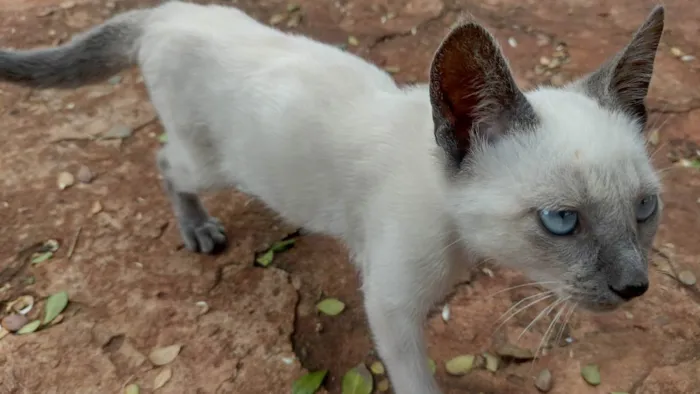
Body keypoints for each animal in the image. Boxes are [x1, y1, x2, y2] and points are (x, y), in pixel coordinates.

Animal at [0, 2, 664, 390]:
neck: (457, 238)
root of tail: (166, 12)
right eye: (561, 220)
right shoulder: (390, 307)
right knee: (165, 162)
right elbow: (415, 380)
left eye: (644, 209)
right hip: (212, 163)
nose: (635, 286)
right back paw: (198, 230)